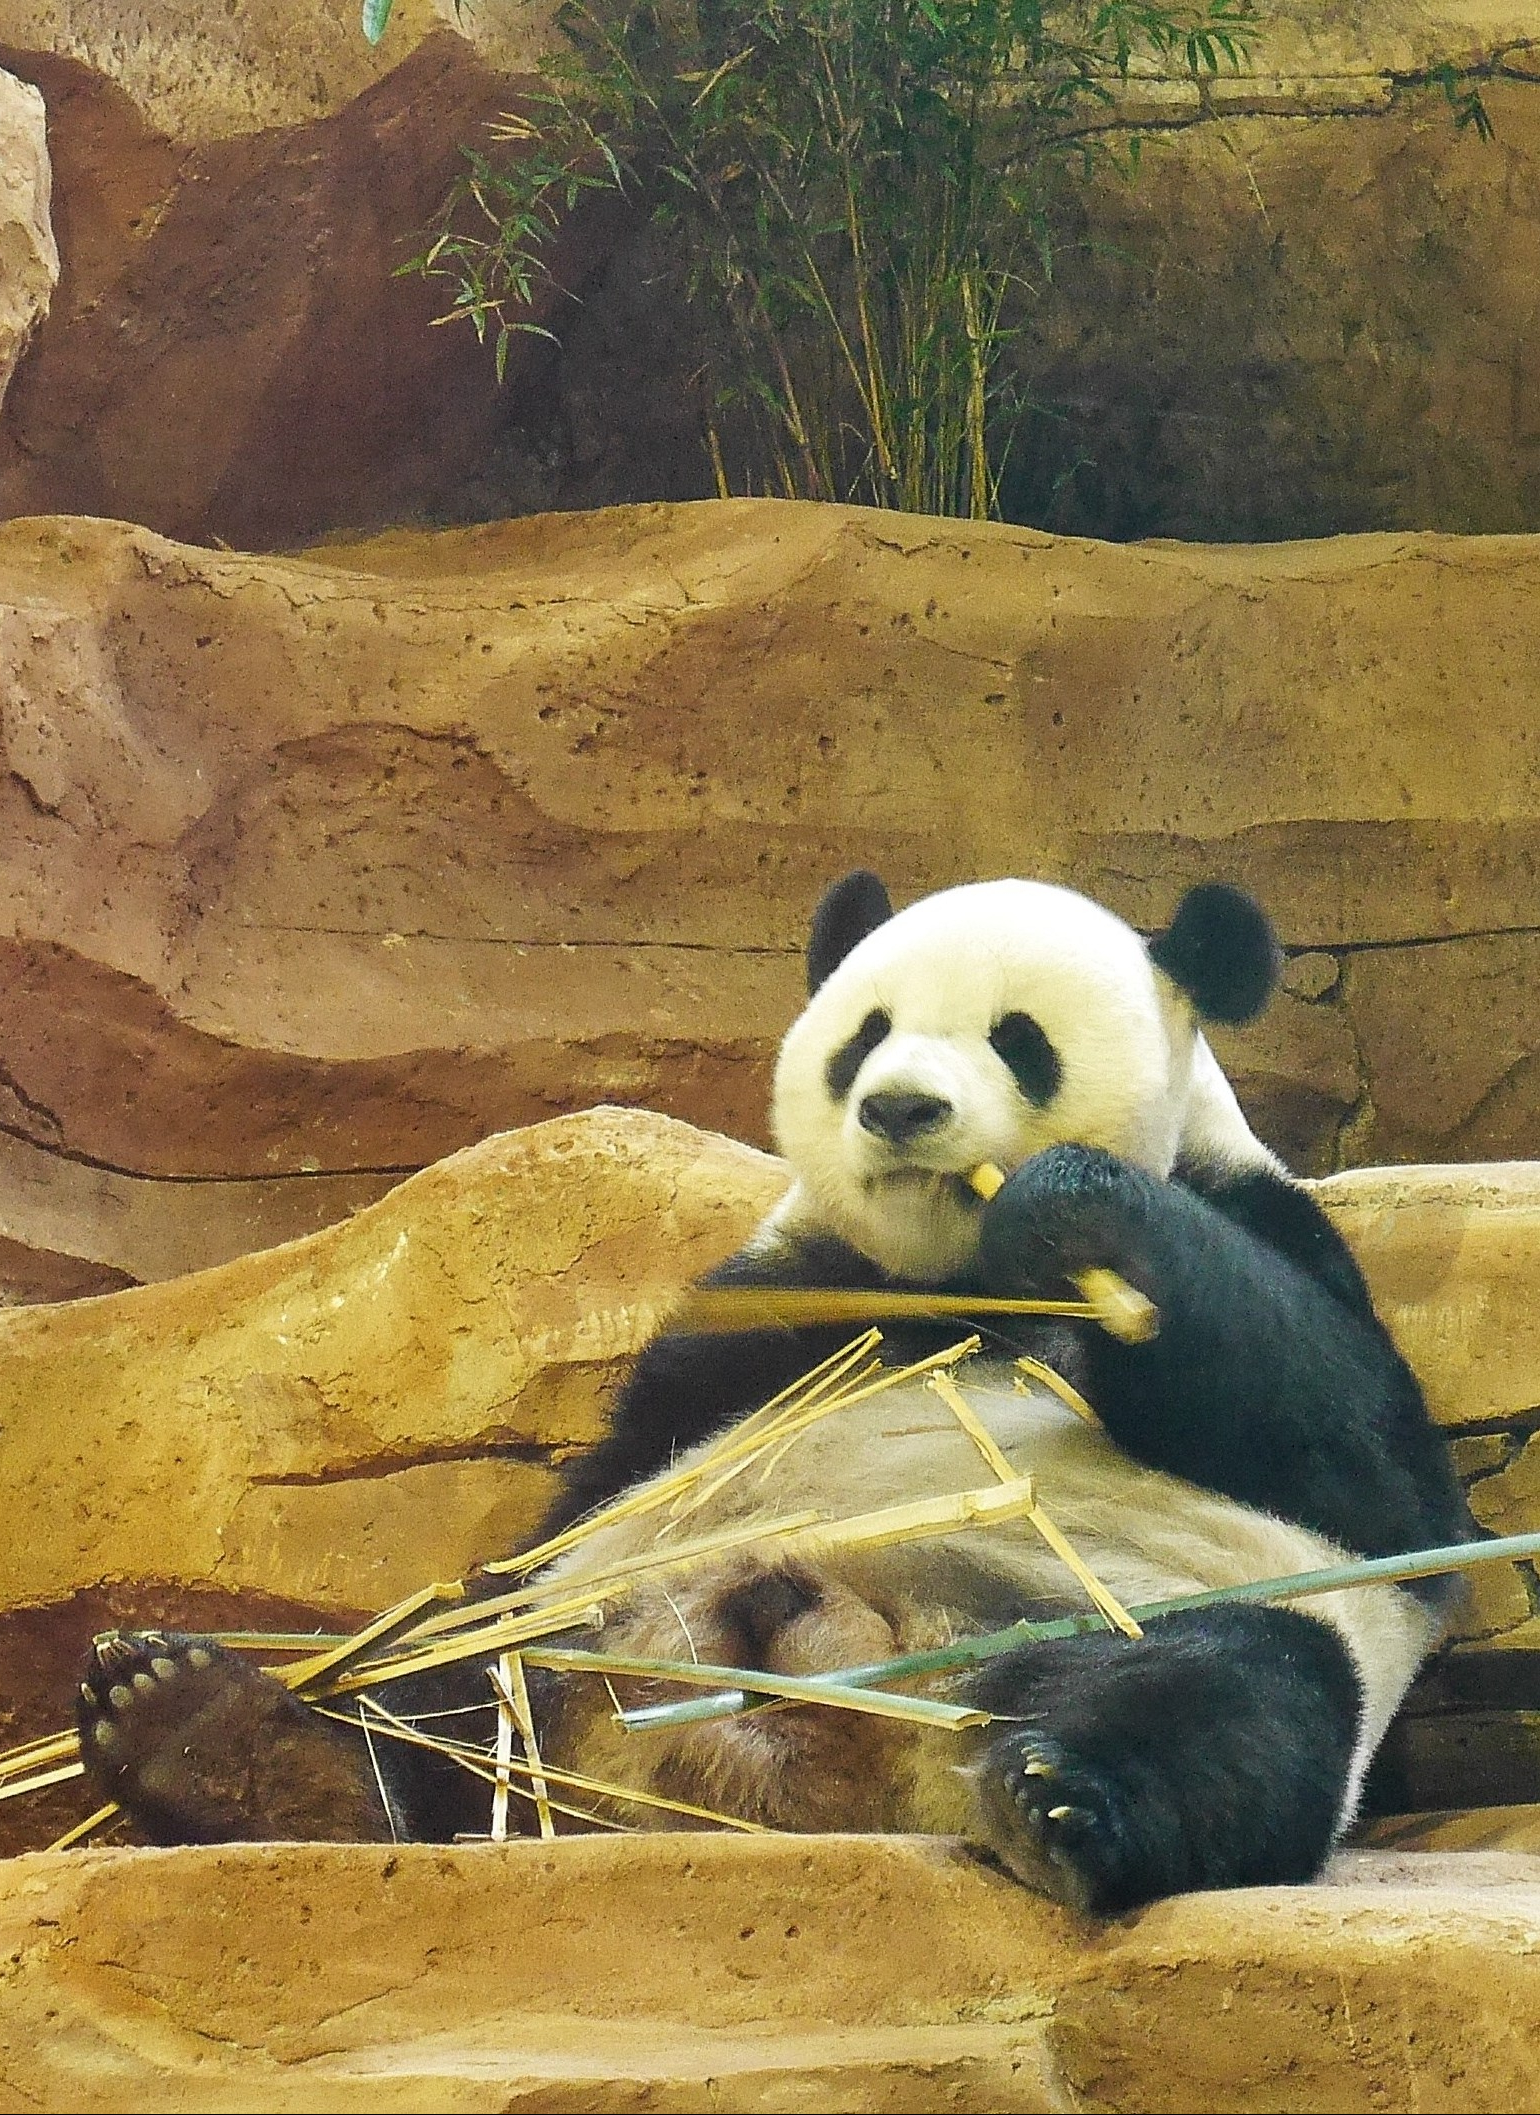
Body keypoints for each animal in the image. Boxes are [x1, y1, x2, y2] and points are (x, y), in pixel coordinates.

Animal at [76, 872, 1472, 1914]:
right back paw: (224, 1744)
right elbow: (595, 1484)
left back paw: (1061, 1807)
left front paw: (1081, 1208)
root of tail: (846, 1768)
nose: (900, 1108)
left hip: (1118, 1611)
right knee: (455, 1687)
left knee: (1238, 1696)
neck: (950, 1272)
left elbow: (1370, 1481)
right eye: (866, 1033)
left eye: (1016, 1040)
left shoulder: (1268, 1233)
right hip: (576, 1630)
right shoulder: (773, 1306)